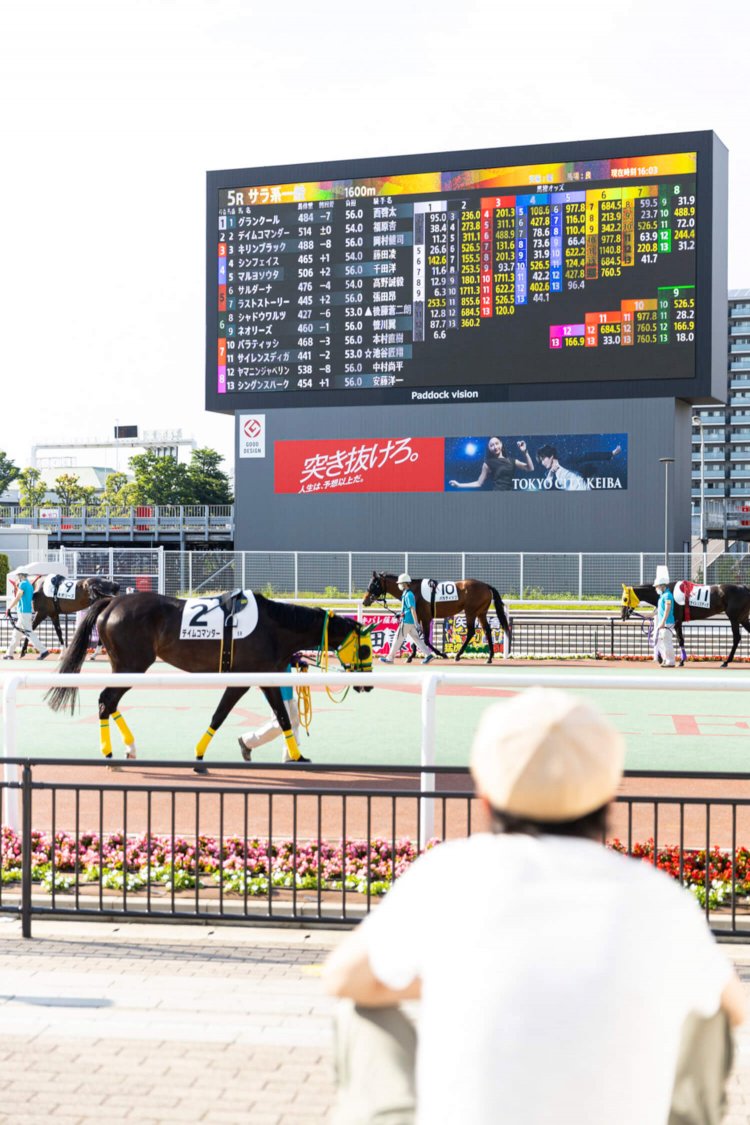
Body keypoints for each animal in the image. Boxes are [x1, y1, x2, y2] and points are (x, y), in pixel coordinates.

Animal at [45, 590, 373, 769]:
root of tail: (113, 603)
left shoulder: (266, 677)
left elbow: (281, 717)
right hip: (132, 665)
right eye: (366, 648)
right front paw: (200, 753)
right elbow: (222, 714)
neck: (273, 627)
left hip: (124, 665)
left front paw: (297, 756)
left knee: (110, 702)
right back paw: (110, 752)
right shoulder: (245, 678)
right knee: (106, 700)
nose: (367, 684)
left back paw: (130, 747)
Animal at [363, 571, 511, 664]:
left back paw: (458, 655)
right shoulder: (419, 617)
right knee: (487, 630)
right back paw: (489, 658)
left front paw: (441, 654)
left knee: (471, 632)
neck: (413, 589)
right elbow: (416, 638)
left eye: (374, 584)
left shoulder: (426, 618)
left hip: (471, 612)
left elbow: (425, 640)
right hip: (481, 613)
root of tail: (486, 586)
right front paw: (411, 657)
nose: (365, 601)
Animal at [621, 581, 750, 667]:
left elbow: (680, 639)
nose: (622, 615)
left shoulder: (677, 621)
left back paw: (726, 661)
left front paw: (681, 661)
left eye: (625, 599)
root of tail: (745, 588)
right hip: (743, 618)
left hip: (734, 618)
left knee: (736, 637)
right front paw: (662, 659)